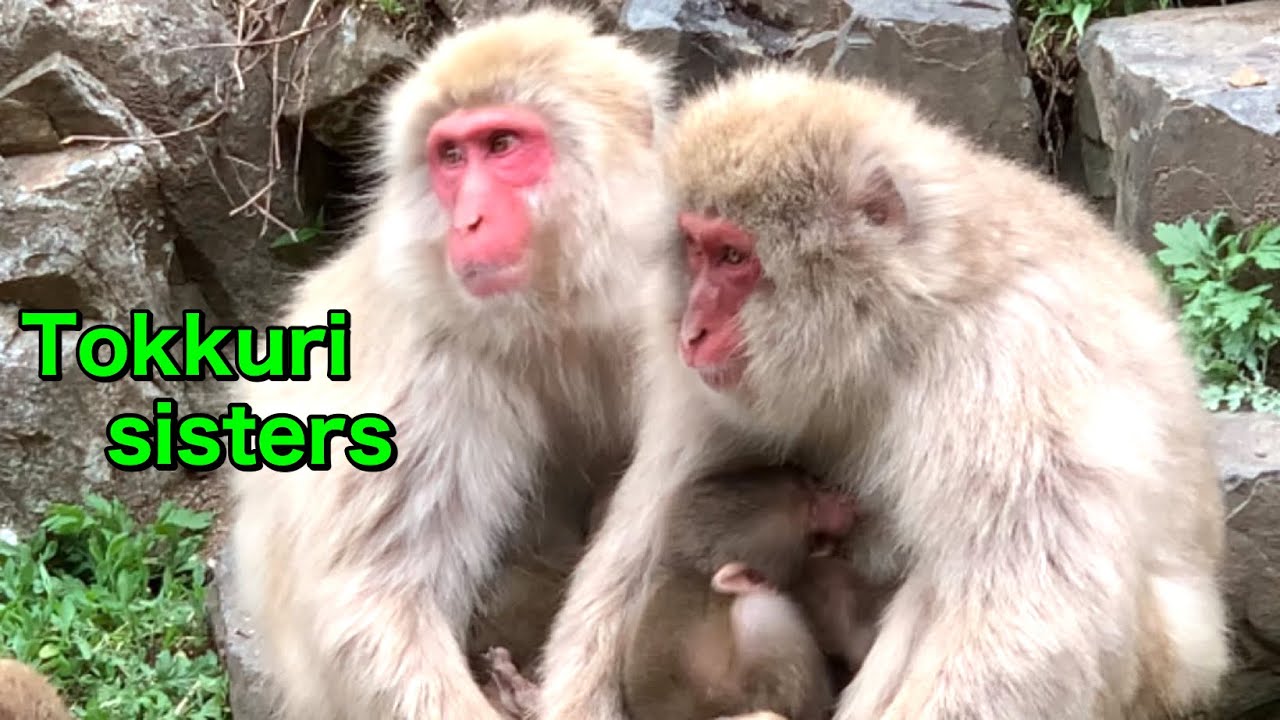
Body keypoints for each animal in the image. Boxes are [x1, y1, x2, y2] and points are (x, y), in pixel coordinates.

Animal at [224, 9, 676, 720]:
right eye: (452, 157)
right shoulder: (424, 364)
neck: (557, 313)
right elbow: (375, 598)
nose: (468, 220)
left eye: (502, 144)